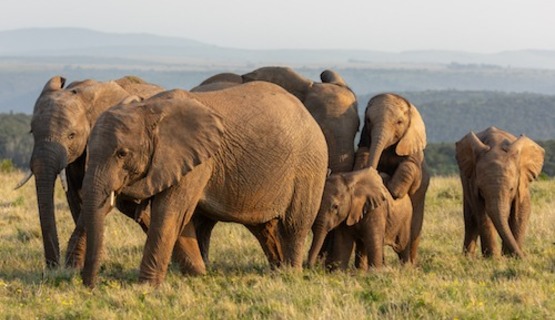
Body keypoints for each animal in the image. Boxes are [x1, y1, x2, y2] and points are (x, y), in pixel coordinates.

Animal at [17, 75, 164, 268]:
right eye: (32, 132)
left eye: (71, 135)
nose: (52, 266)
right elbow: (74, 198)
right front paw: (89, 263)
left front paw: (73, 265)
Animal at [80, 81, 328, 286]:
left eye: (122, 153)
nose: (90, 286)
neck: (149, 109)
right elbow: (175, 217)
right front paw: (198, 274)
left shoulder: (197, 161)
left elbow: (170, 214)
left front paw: (147, 287)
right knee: (263, 227)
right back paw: (277, 270)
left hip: (309, 166)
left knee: (295, 224)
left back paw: (290, 275)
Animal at [356, 93, 430, 264]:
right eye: (368, 120)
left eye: (399, 122)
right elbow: (363, 152)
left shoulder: (411, 146)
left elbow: (411, 166)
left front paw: (392, 189)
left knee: (414, 231)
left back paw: (411, 264)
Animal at [458, 125, 544, 258]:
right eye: (481, 190)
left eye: (511, 189)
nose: (525, 257)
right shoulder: (473, 185)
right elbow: (483, 216)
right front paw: (494, 259)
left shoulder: (522, 182)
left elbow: (521, 212)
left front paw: (510, 258)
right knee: (470, 220)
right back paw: (467, 258)